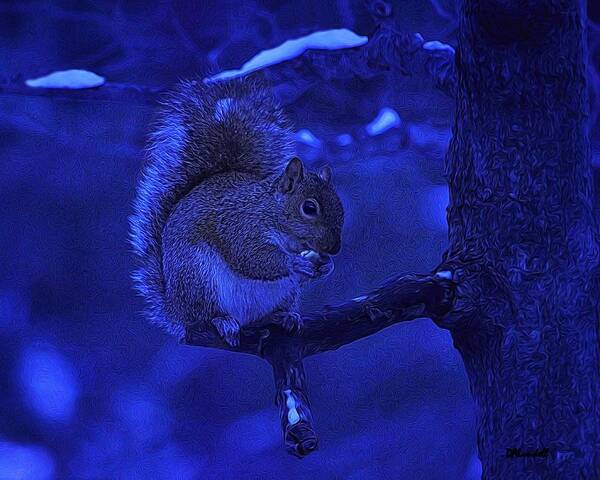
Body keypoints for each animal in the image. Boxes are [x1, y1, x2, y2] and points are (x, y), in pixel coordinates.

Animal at [129, 77, 344, 346]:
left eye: (341, 207)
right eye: (309, 207)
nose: (334, 248)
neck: (270, 212)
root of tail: (175, 309)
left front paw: (327, 266)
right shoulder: (239, 225)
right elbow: (251, 257)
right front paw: (294, 263)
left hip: (284, 294)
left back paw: (282, 317)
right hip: (198, 276)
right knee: (206, 314)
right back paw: (222, 321)